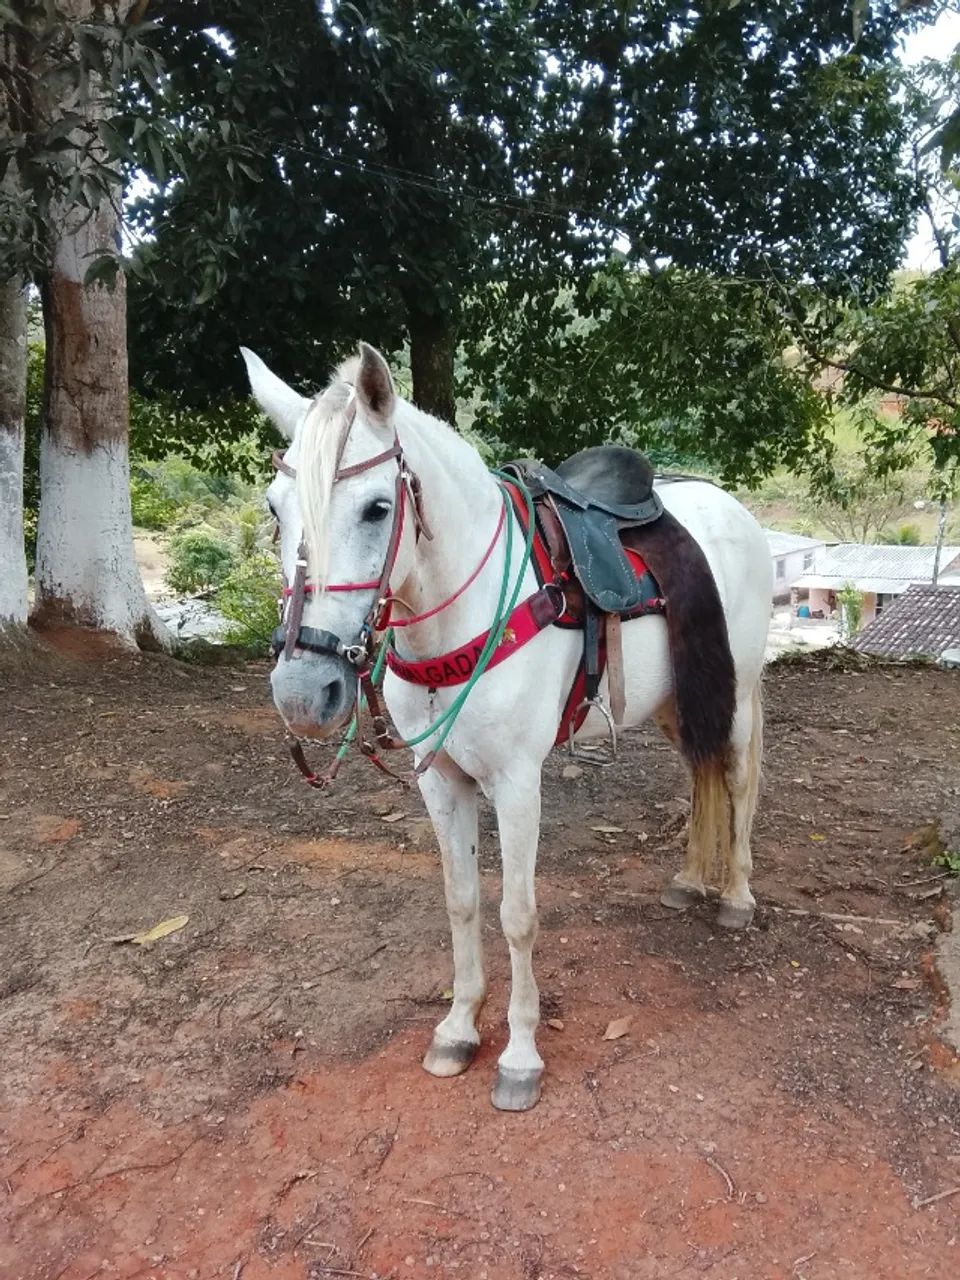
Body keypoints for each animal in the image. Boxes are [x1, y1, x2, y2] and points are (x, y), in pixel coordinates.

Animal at [241, 341, 772, 1112]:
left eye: (377, 508)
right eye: (275, 510)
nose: (304, 692)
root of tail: (737, 513)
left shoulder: (519, 783)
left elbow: (517, 914)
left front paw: (520, 1056)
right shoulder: (442, 782)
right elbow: (462, 901)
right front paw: (460, 1027)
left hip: (736, 691)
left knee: (733, 779)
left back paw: (734, 895)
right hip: (675, 702)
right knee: (699, 772)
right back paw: (687, 880)